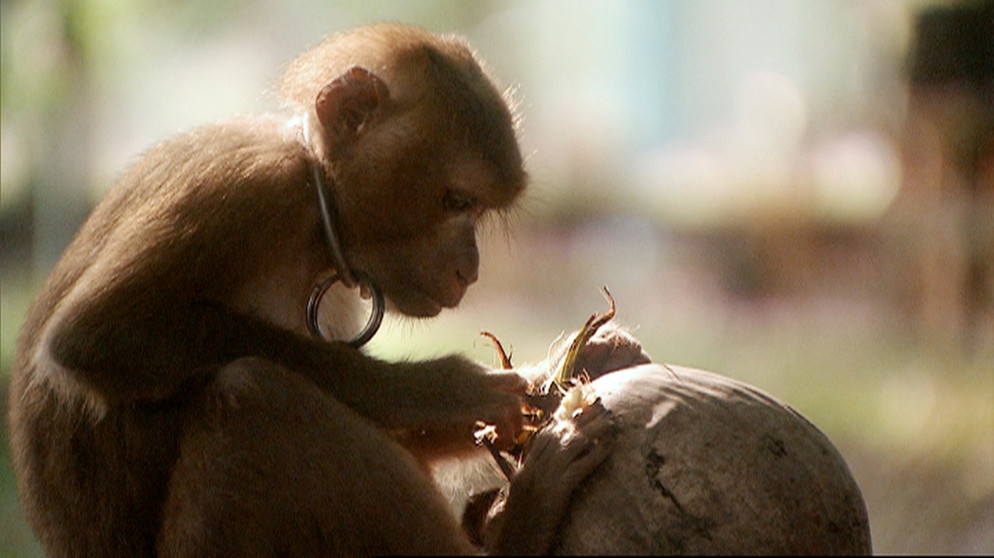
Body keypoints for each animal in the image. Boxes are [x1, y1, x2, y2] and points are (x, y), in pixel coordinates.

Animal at [5, 24, 612, 556]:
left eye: (478, 210)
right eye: (457, 202)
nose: (471, 270)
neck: (314, 208)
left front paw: (567, 370)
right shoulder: (248, 189)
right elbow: (95, 337)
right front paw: (441, 389)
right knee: (256, 395)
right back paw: (524, 527)